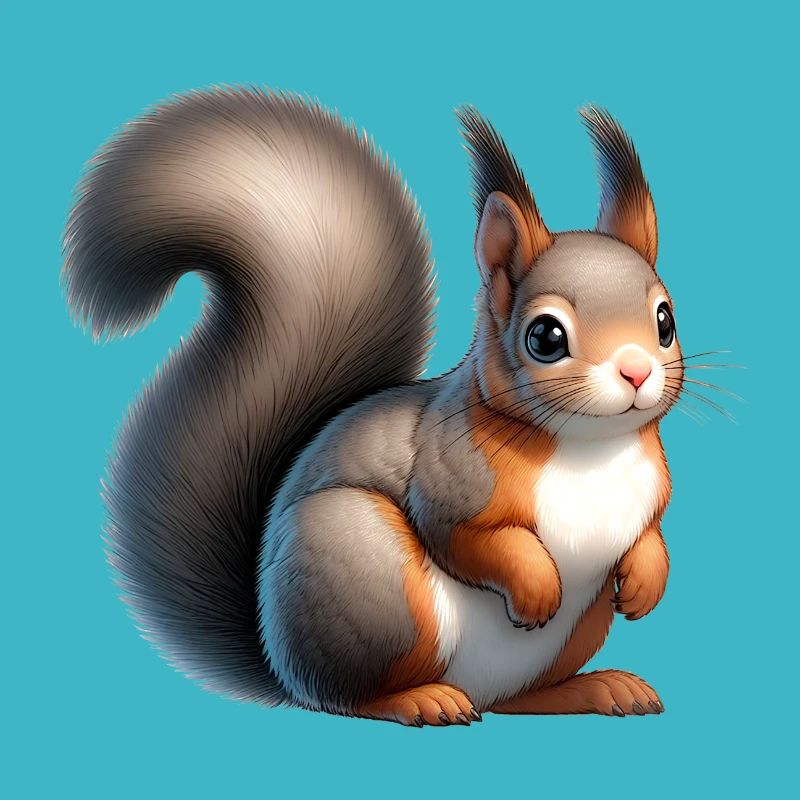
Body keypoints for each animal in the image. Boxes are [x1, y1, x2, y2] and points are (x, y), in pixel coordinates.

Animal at [63, 87, 682, 726]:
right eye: (546, 337)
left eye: (665, 321)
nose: (637, 370)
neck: (590, 448)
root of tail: (281, 665)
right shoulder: (449, 478)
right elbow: (470, 539)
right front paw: (536, 588)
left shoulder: (651, 487)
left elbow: (650, 532)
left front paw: (646, 579)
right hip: (368, 569)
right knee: (352, 697)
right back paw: (423, 699)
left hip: (574, 632)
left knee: (521, 699)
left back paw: (600, 688)